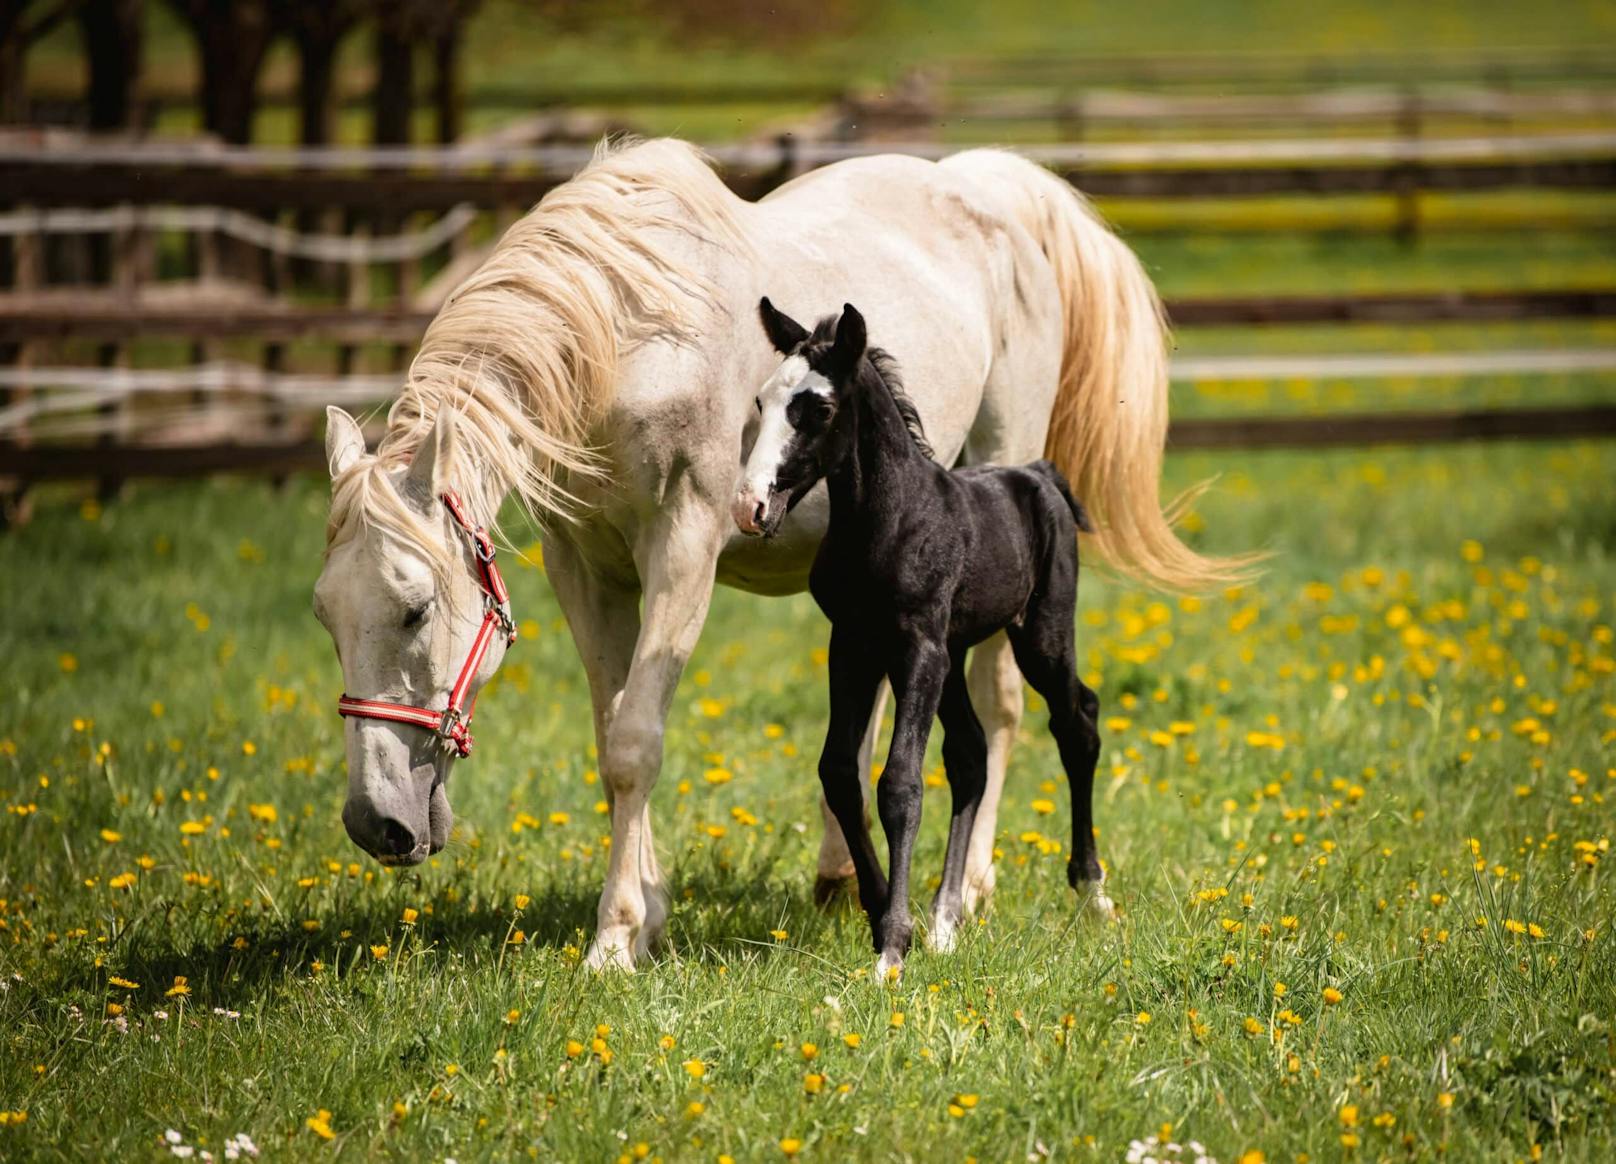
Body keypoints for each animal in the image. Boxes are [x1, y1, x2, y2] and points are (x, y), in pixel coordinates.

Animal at [736, 297, 1105, 970]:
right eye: (761, 400)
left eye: (819, 409)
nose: (751, 507)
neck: (888, 521)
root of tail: (1039, 475)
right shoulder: (853, 644)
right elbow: (840, 773)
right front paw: (886, 912)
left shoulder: (917, 646)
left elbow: (900, 781)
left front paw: (891, 947)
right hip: (955, 654)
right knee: (971, 755)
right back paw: (945, 920)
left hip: (1039, 633)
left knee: (1077, 722)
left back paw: (1092, 892)